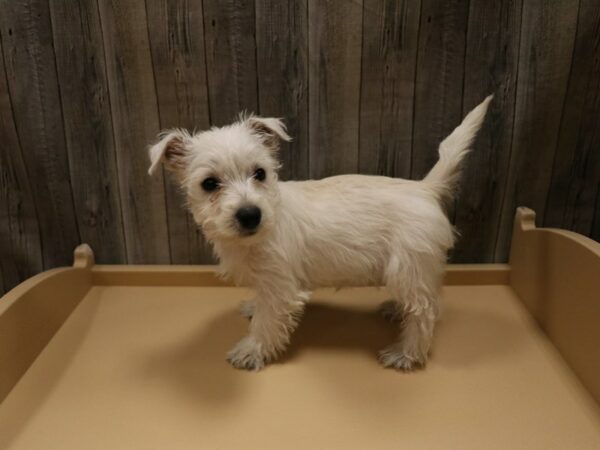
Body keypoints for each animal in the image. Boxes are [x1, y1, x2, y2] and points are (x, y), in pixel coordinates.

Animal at [146, 96, 492, 372]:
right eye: (209, 184)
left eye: (260, 173)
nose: (249, 214)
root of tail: (425, 188)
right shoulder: (267, 282)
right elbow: (261, 304)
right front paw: (253, 308)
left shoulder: (281, 288)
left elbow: (268, 322)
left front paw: (251, 350)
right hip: (410, 272)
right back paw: (397, 311)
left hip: (409, 267)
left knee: (426, 312)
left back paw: (406, 354)